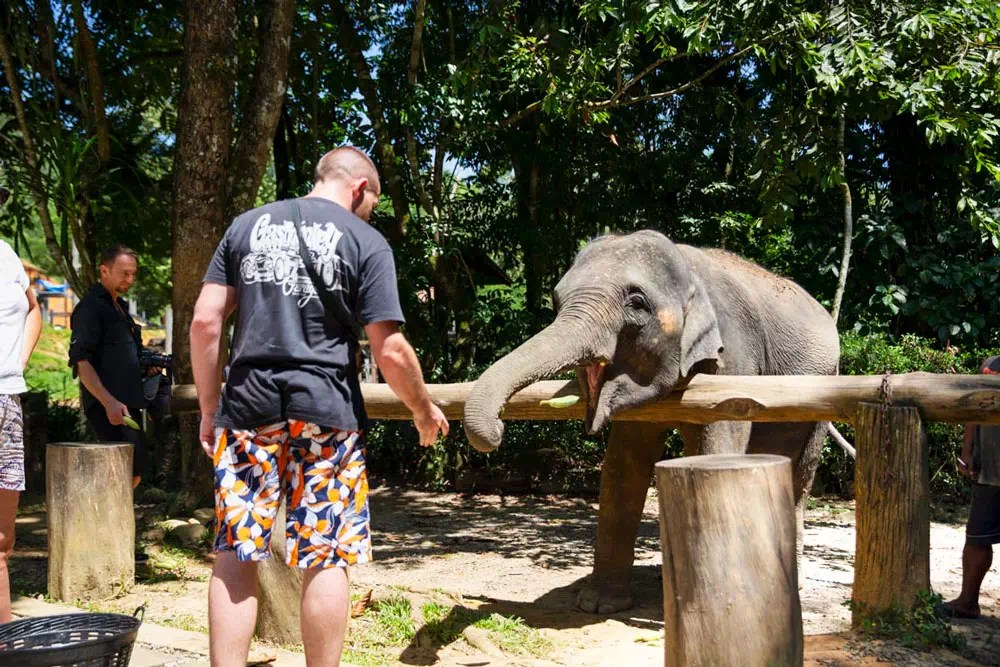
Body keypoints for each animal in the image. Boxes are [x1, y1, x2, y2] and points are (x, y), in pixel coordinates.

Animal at [463, 230, 840, 614]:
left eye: (637, 302)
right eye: (556, 300)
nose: (498, 429)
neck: (689, 268)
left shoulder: (734, 356)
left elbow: (719, 442)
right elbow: (624, 463)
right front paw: (598, 605)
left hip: (824, 387)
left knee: (800, 473)